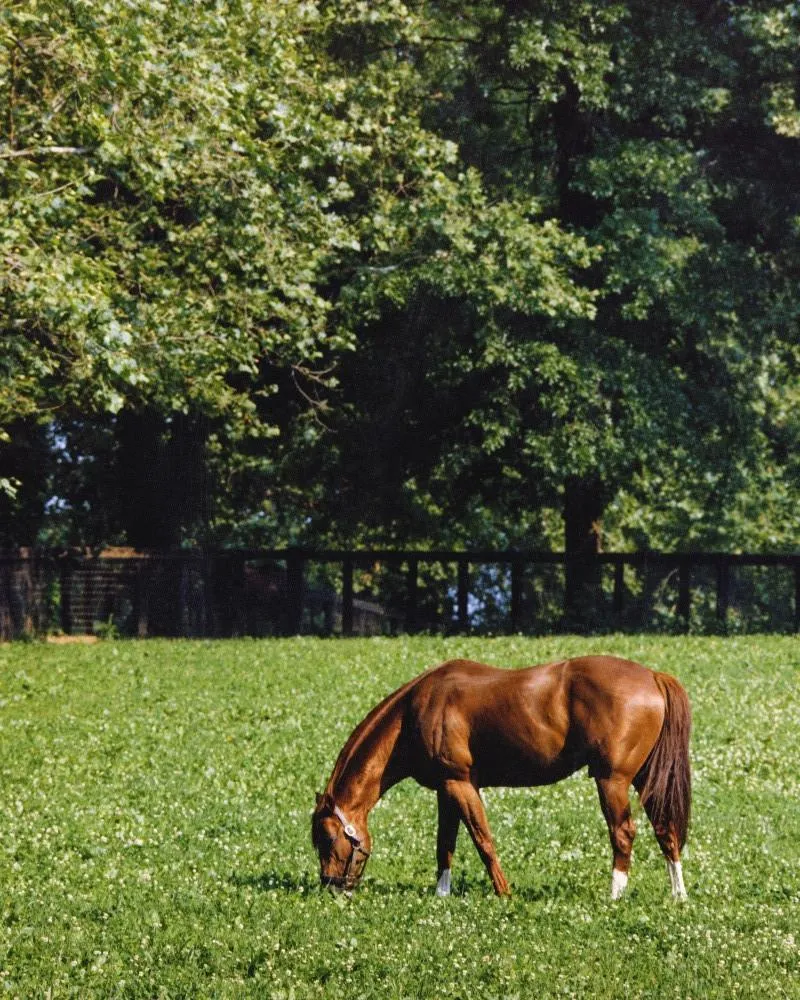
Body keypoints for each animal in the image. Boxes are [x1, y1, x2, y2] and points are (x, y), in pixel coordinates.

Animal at [310, 652, 692, 904]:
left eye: (327, 838)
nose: (331, 886)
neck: (416, 710)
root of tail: (652, 676)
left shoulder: (461, 784)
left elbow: (483, 841)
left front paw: (504, 893)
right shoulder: (446, 788)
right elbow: (444, 844)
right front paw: (441, 894)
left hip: (612, 780)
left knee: (623, 833)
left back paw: (615, 895)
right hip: (645, 778)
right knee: (665, 829)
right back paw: (678, 895)